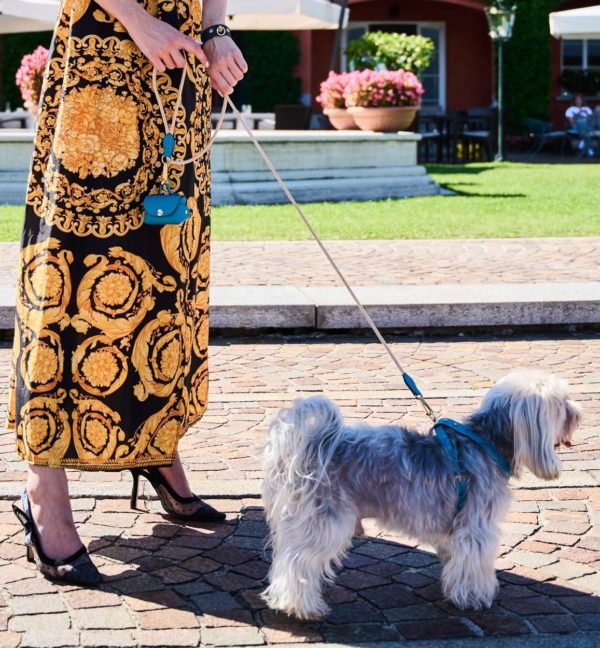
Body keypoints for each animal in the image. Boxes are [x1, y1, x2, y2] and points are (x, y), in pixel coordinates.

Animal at [262, 370, 580, 616]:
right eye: (561, 403)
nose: (579, 414)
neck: (486, 443)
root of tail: (310, 446)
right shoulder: (476, 530)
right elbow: (474, 564)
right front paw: (474, 597)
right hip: (325, 523)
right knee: (296, 564)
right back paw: (299, 607)